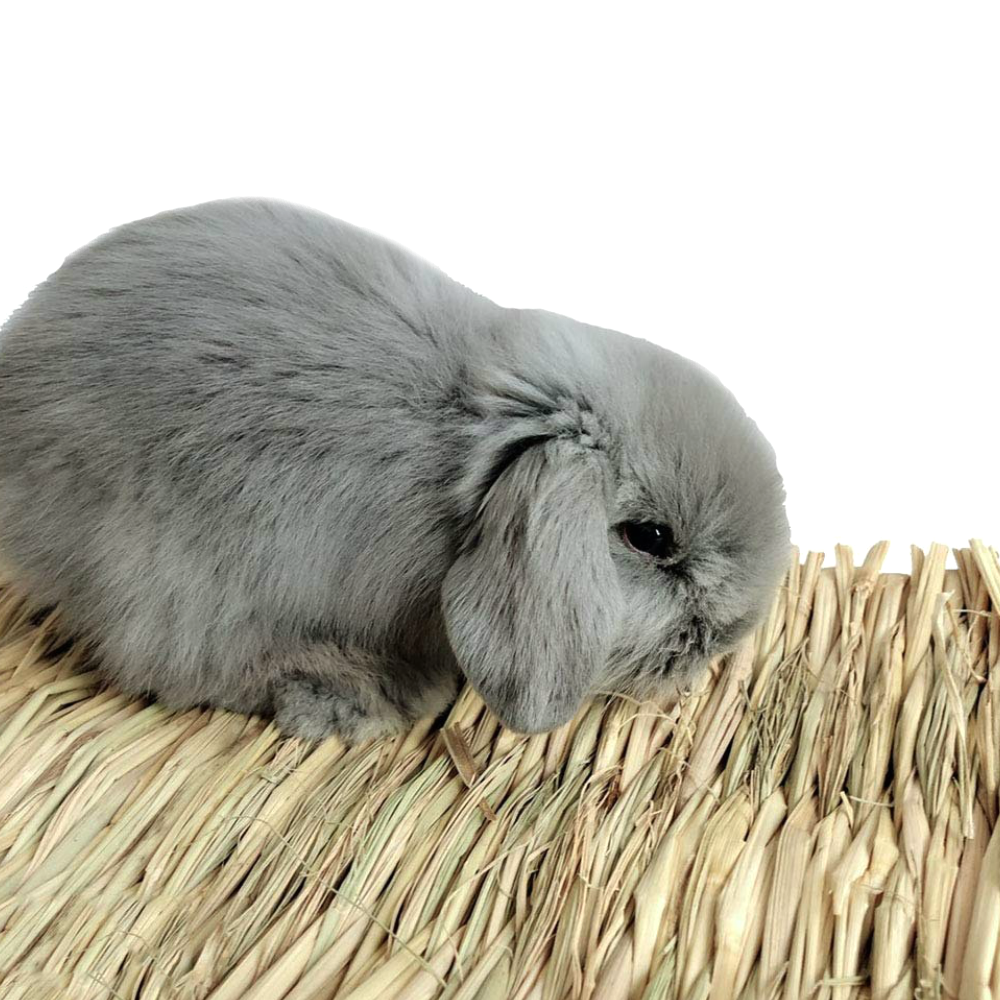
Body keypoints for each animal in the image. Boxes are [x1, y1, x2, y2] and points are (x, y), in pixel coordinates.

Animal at [0, 198, 790, 742]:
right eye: (650, 538)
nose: (731, 636)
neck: (473, 453)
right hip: (167, 573)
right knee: (180, 665)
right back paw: (359, 696)